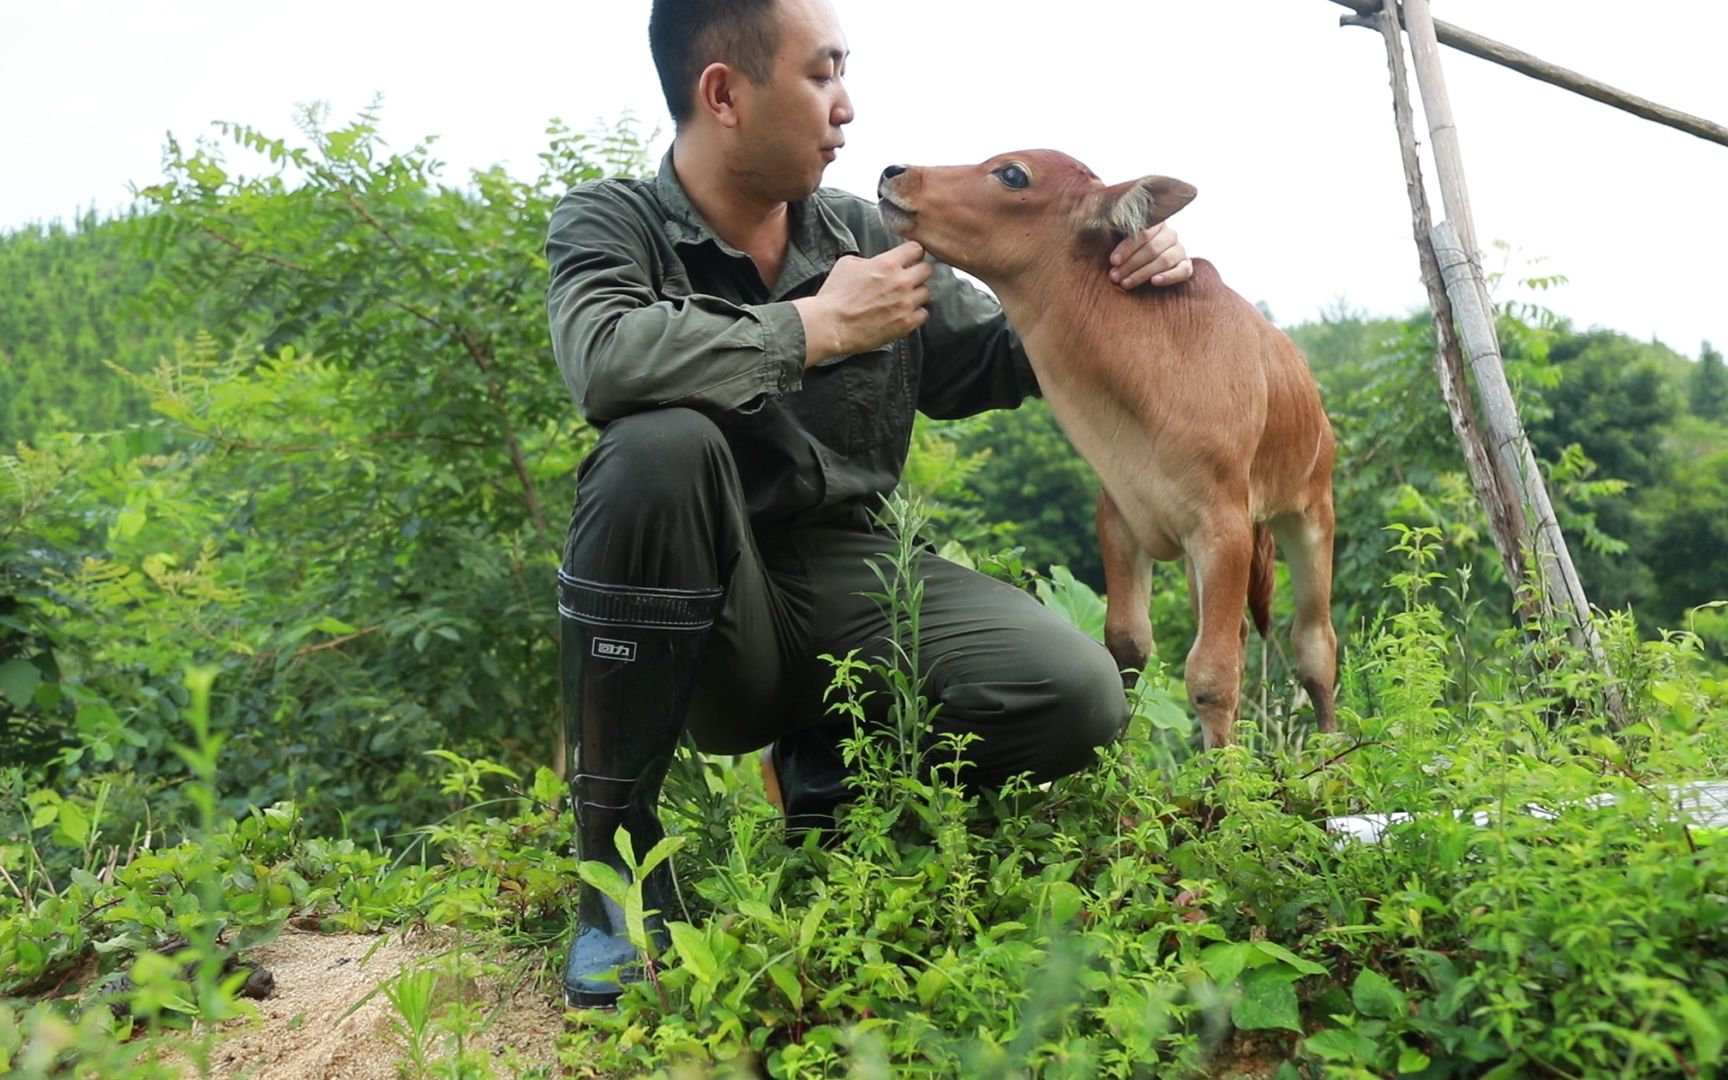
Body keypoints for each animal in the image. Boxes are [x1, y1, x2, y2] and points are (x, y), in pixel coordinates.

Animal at [877, 149, 1334, 749]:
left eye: (1012, 174)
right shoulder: (1120, 515)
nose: (894, 173)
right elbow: (1127, 647)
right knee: (1239, 633)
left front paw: (1223, 778)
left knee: (1315, 645)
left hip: (1310, 512)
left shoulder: (1224, 527)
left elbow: (1212, 676)